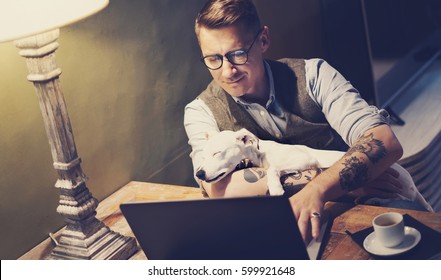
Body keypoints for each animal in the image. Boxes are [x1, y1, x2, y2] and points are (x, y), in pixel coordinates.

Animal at [194, 128, 432, 211]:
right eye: (203, 155)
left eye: (217, 153)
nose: (199, 174)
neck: (260, 154)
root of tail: (413, 184)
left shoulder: (303, 158)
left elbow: (274, 169)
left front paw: (276, 188)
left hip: (399, 187)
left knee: (403, 200)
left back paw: (375, 199)